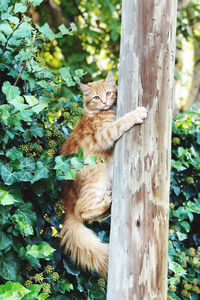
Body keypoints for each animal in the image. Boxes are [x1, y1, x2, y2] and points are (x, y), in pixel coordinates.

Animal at [59, 71, 147, 276]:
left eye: (108, 93)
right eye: (96, 98)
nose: (106, 102)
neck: (102, 112)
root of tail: (66, 205)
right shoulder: (104, 134)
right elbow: (122, 122)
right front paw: (137, 113)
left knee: (87, 216)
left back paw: (108, 205)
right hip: (96, 176)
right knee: (81, 210)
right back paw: (106, 203)